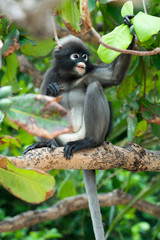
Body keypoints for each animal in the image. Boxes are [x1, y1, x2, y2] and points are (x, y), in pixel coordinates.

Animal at [24, 32, 134, 239]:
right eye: (75, 56)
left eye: (84, 56)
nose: (81, 62)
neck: (69, 77)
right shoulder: (50, 75)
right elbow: (40, 101)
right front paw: (51, 91)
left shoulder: (89, 72)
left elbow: (112, 76)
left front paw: (131, 28)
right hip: (60, 139)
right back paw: (45, 144)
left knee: (95, 87)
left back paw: (90, 141)